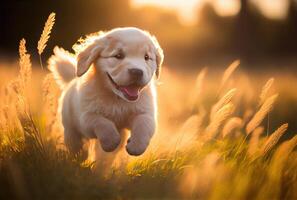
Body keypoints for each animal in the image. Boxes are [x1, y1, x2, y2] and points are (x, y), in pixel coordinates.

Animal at [48, 27, 164, 155]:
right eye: (118, 55)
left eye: (146, 57)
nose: (137, 72)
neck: (118, 99)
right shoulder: (86, 117)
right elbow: (101, 122)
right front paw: (111, 141)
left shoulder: (146, 112)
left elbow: (144, 124)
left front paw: (136, 145)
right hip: (70, 128)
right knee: (75, 144)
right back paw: (80, 155)